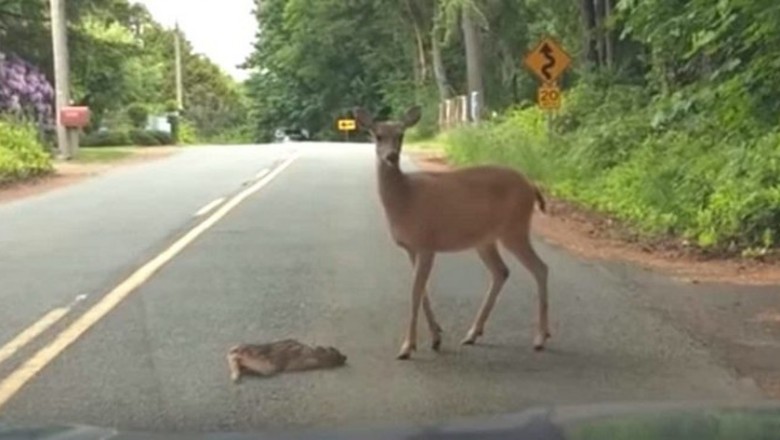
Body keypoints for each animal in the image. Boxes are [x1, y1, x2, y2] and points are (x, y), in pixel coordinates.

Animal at [356, 105, 552, 360]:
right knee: (501, 271)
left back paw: (540, 338)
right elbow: (422, 292)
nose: (391, 156)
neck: (405, 199)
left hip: (514, 228)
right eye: (378, 135)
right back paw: (473, 334)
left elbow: (414, 292)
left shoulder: (426, 243)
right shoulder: (411, 248)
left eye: (401, 135)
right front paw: (435, 337)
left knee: (540, 268)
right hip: (486, 239)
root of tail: (531, 186)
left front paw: (407, 347)